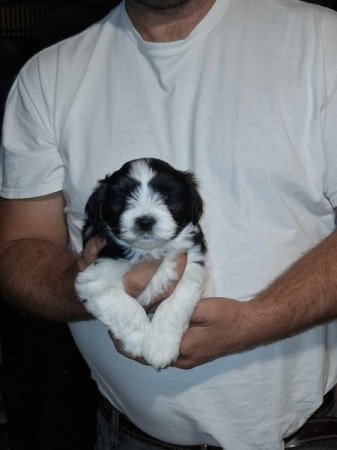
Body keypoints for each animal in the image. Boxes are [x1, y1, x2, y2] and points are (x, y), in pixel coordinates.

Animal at [75, 158, 206, 370]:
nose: (145, 221)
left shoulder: (191, 267)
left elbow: (173, 304)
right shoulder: (94, 279)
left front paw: (160, 346)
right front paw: (139, 340)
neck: (149, 251)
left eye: (167, 196)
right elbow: (125, 307)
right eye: (122, 198)